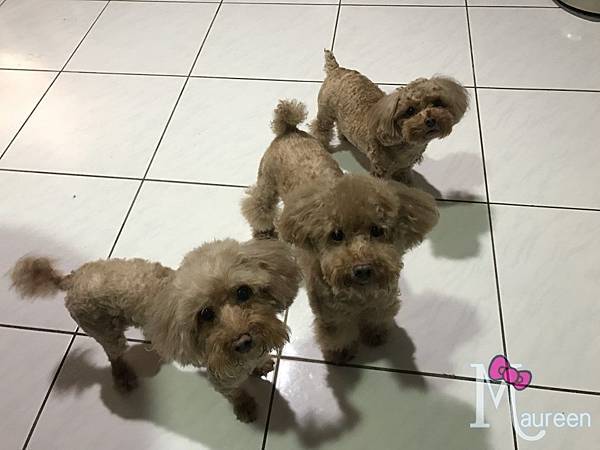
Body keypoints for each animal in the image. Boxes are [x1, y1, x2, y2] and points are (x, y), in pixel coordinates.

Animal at [10, 238, 300, 422]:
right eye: (206, 314)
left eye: (243, 292)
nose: (243, 341)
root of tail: (70, 279)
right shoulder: (222, 378)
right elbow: (235, 393)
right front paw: (246, 407)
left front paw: (260, 364)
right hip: (104, 330)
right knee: (113, 355)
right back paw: (123, 376)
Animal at [242, 99, 439, 363]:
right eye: (336, 235)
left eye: (377, 230)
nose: (362, 269)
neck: (360, 295)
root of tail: (290, 130)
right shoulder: (332, 316)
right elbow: (339, 335)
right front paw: (342, 353)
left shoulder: (382, 302)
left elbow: (378, 319)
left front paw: (376, 336)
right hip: (267, 181)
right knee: (257, 204)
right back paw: (263, 229)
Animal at [310, 50, 469, 183]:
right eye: (410, 110)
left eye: (437, 103)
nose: (430, 120)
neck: (406, 145)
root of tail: (336, 69)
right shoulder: (380, 169)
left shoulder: (406, 166)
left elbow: (403, 175)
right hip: (326, 112)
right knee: (320, 128)